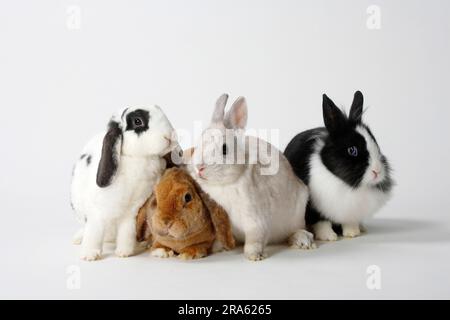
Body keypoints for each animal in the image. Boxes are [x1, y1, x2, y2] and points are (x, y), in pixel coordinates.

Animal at [71, 106, 178, 262]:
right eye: (137, 121)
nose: (170, 137)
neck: (137, 158)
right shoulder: (97, 212)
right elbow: (94, 232)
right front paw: (89, 255)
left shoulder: (131, 211)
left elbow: (126, 232)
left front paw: (124, 252)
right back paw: (78, 239)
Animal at [186, 94, 312, 262]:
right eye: (198, 143)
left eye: (224, 149)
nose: (199, 167)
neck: (224, 184)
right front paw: (216, 248)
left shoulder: (256, 219)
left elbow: (255, 238)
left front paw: (254, 255)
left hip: (296, 216)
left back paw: (301, 239)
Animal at [284, 90, 394, 240]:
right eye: (352, 150)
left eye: (376, 143)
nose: (377, 171)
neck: (346, 186)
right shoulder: (315, 208)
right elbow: (321, 222)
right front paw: (329, 237)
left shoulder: (349, 211)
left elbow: (349, 221)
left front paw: (352, 233)